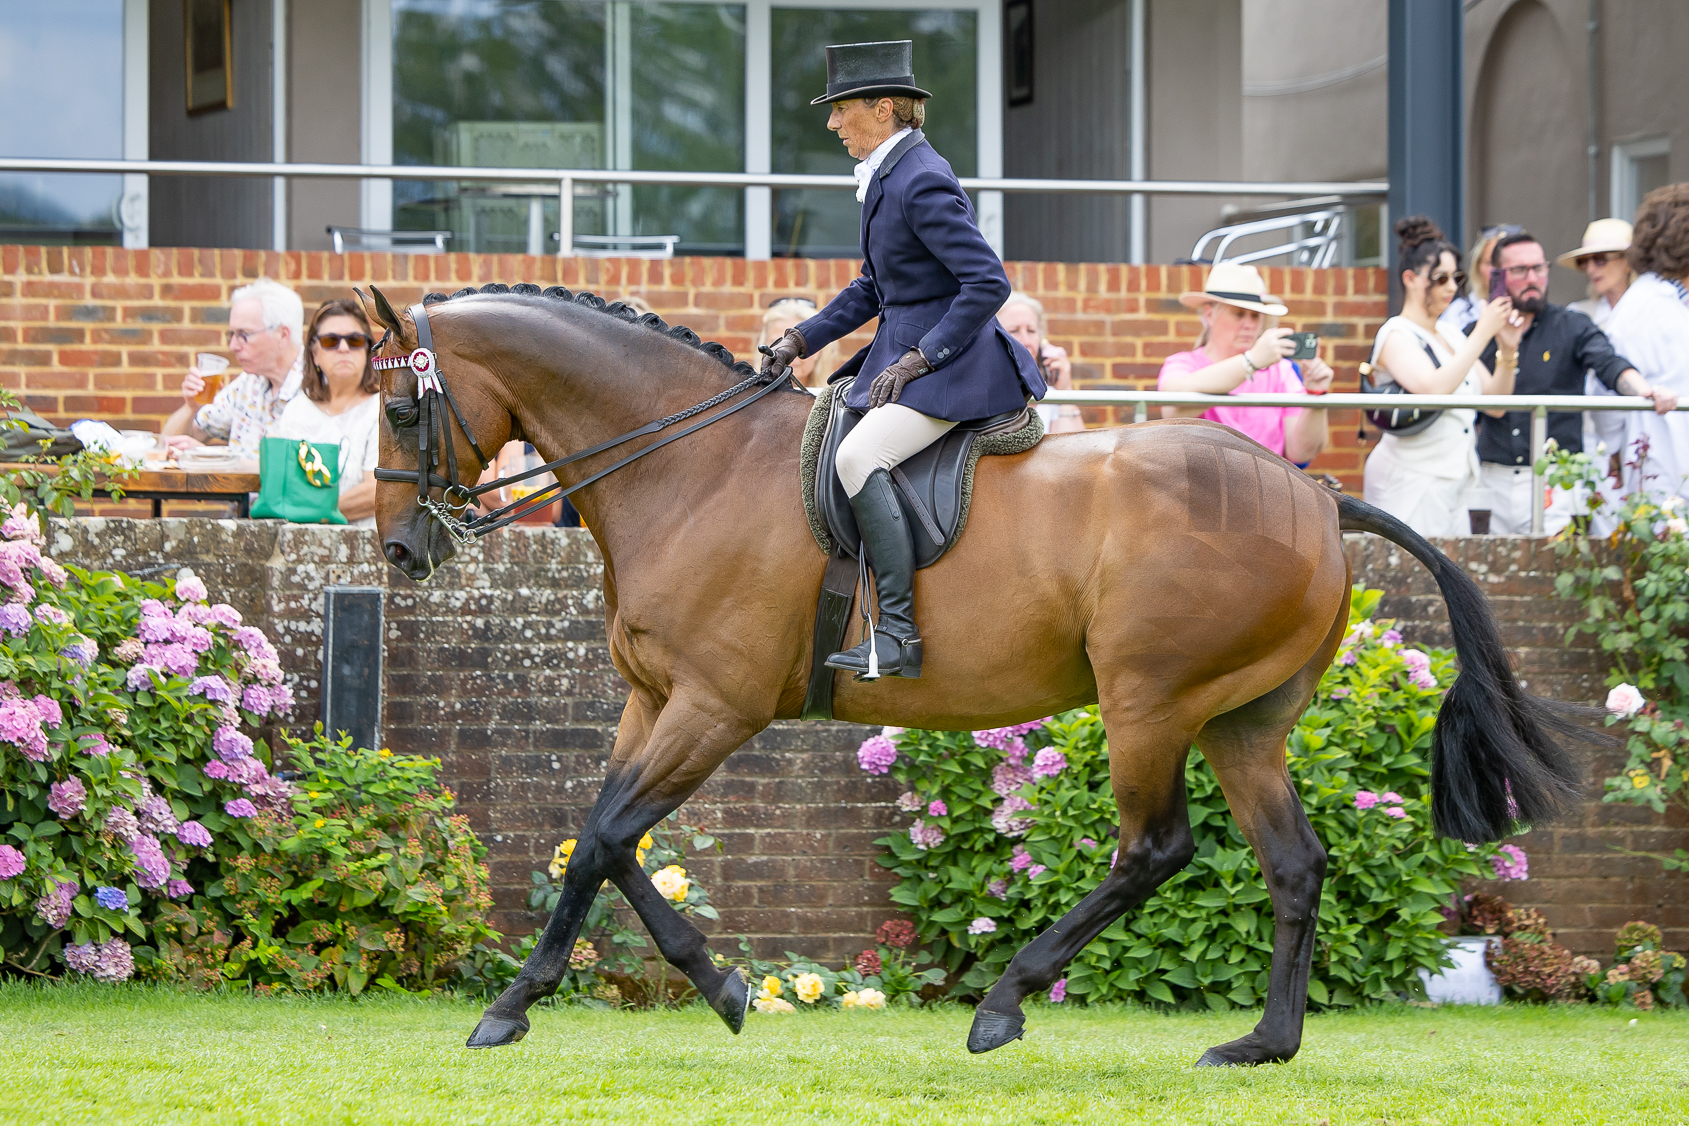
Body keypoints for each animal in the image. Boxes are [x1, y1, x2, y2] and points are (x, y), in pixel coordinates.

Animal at [362, 282, 1587, 1066]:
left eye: (400, 404)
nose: (401, 552)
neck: (687, 465)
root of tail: (1320, 496)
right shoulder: (651, 701)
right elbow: (598, 844)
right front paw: (646, 991)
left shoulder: (714, 706)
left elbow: (609, 838)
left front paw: (575, 1002)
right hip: (1241, 721)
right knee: (1293, 863)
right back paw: (1262, 1044)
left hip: (1149, 701)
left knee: (1155, 849)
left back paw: (1005, 1004)